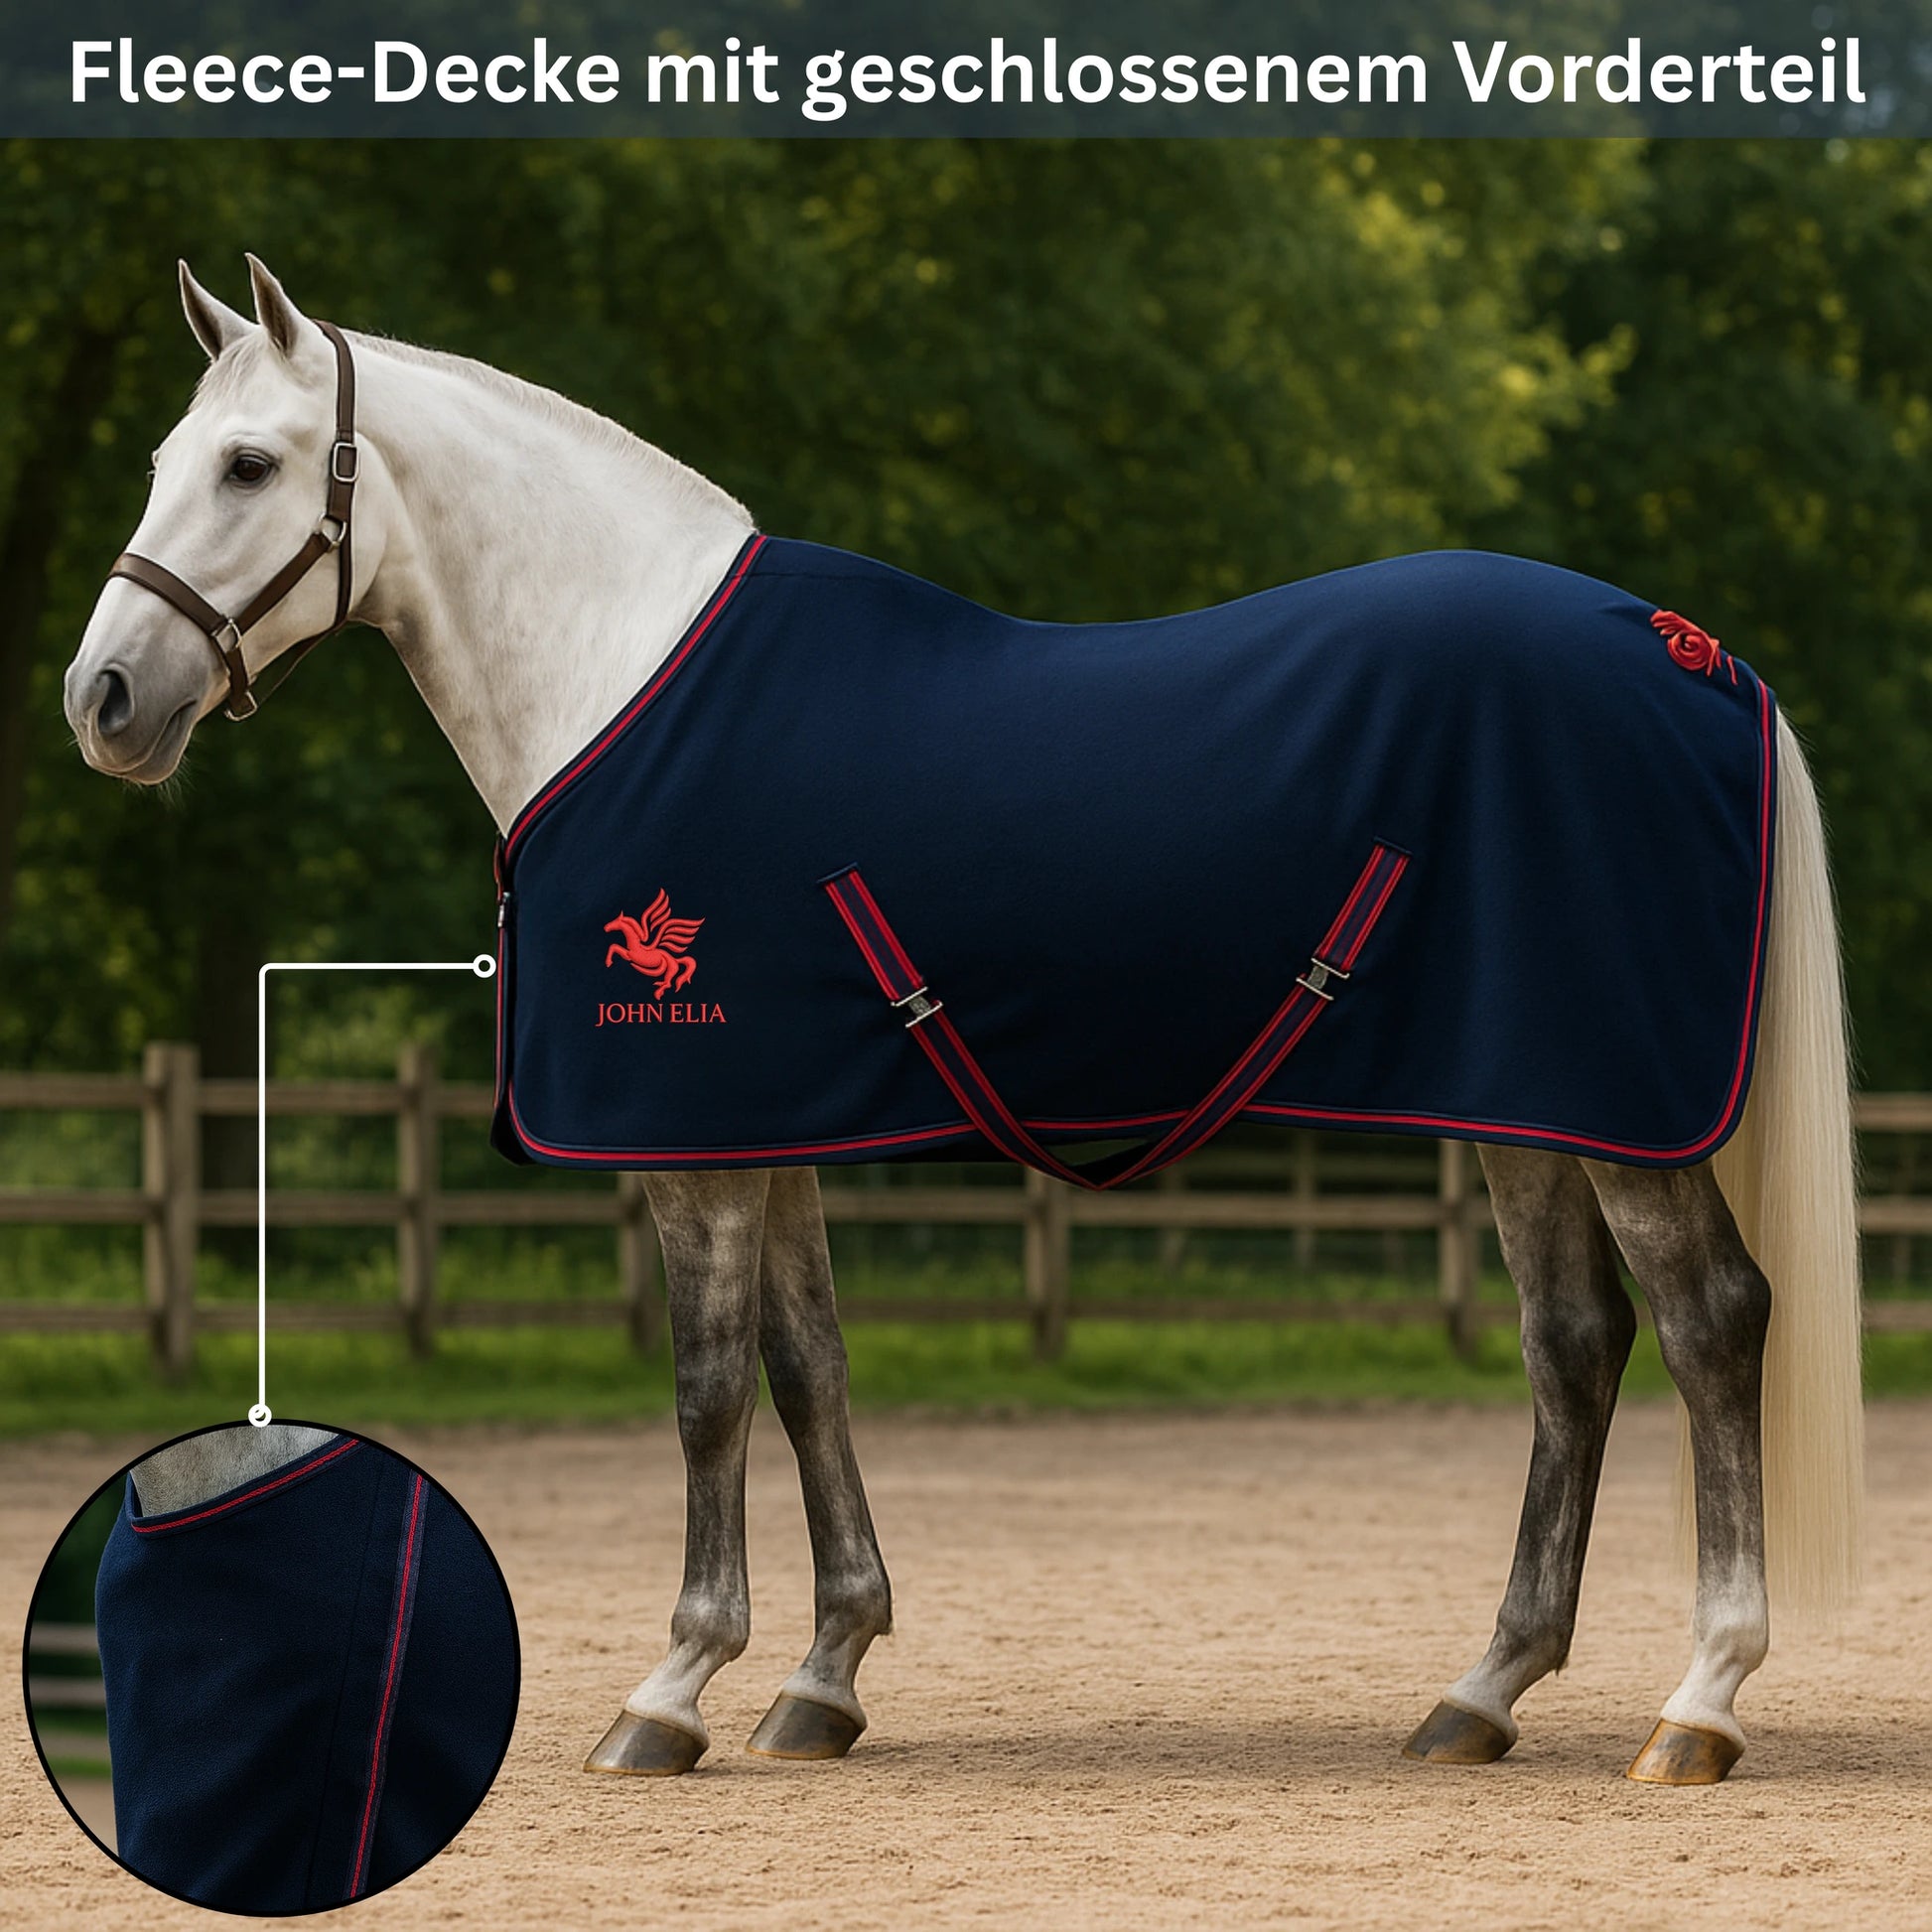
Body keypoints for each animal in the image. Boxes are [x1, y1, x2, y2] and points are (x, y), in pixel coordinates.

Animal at [64, 257, 1862, 1787]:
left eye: (248, 465)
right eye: (157, 460)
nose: (105, 703)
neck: (616, 669)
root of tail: (1688, 651)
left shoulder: (695, 1140)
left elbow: (707, 1387)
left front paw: (671, 1690)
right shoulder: (765, 1122)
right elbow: (807, 1369)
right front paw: (820, 1677)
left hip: (1615, 1103)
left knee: (1710, 1323)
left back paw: (1698, 1701)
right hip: (1526, 1102)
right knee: (1576, 1347)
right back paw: (1480, 1694)